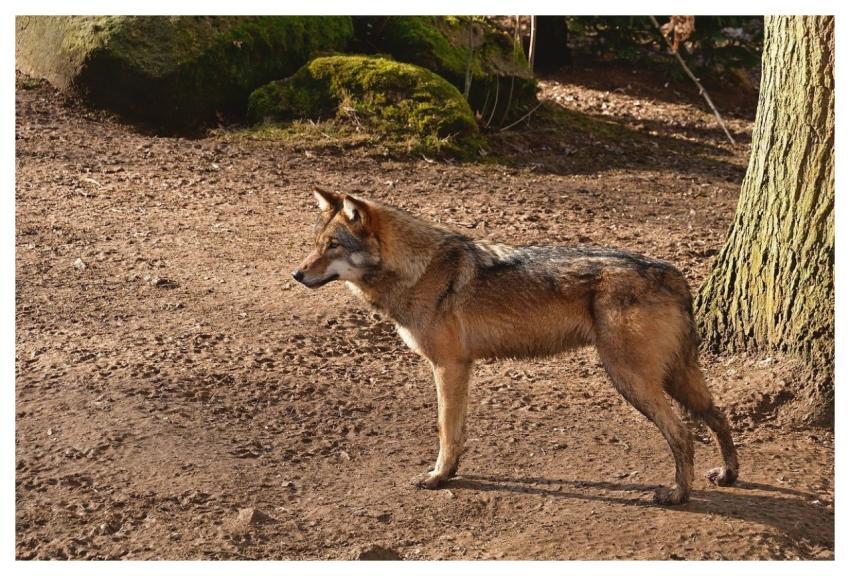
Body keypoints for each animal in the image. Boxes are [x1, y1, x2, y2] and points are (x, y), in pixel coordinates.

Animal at [292, 187, 739, 505]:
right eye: (315, 243)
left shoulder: (449, 366)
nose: (296, 274)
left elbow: (446, 431)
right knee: (718, 416)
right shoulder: (460, 368)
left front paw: (437, 477)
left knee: (682, 433)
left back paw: (677, 495)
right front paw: (449, 473)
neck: (417, 270)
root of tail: (674, 274)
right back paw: (729, 475)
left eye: (334, 245)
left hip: (631, 380)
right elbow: (457, 432)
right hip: (675, 378)